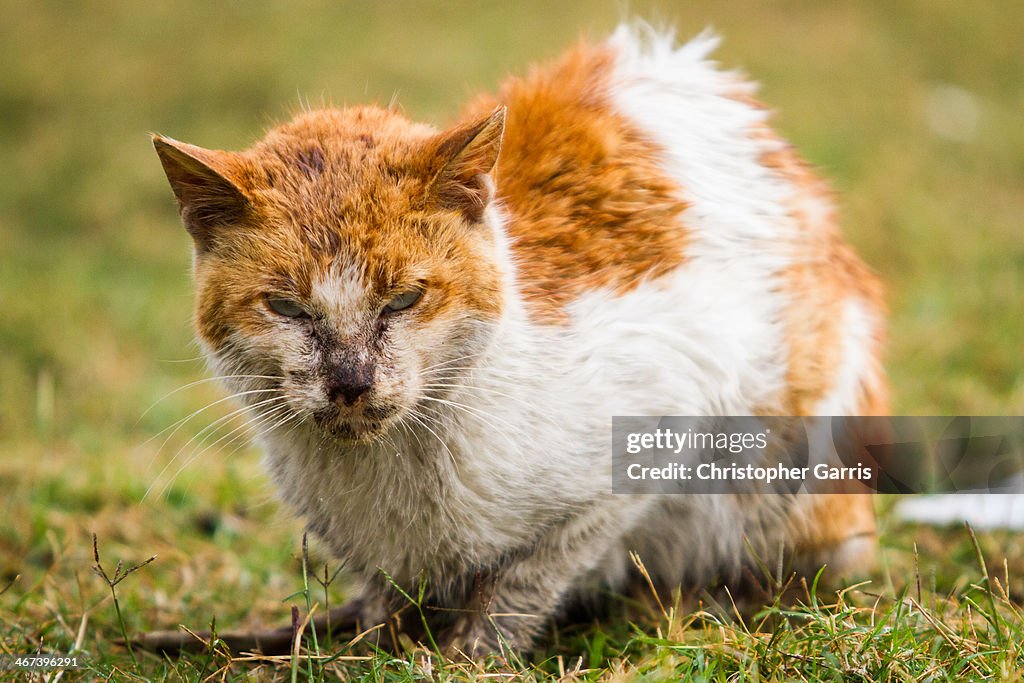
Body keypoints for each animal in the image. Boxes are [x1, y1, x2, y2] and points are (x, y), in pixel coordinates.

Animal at [151, 24, 888, 659]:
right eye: (284, 306)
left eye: (405, 298)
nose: (351, 381)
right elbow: (384, 589)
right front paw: (378, 641)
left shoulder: (655, 423)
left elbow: (524, 580)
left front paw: (470, 655)